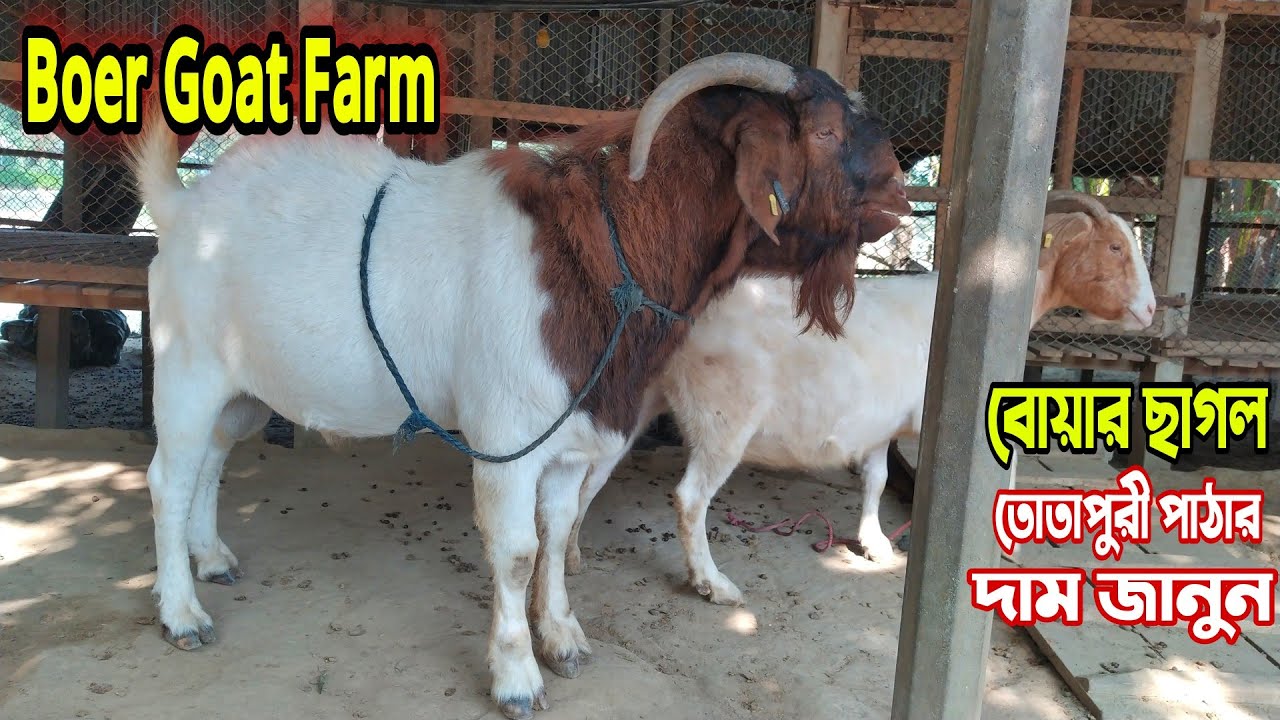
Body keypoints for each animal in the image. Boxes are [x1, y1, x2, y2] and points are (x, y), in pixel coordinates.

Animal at [125, 53, 912, 719]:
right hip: (188, 371)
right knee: (168, 477)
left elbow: (558, 534)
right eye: (824, 129)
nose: (902, 193)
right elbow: (516, 551)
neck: (597, 253)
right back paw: (182, 613)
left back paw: (211, 559)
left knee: (211, 463)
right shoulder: (507, 440)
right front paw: (515, 677)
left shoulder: (569, 445)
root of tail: (184, 209)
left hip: (244, 391)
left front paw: (562, 639)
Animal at [563, 190, 1157, 606]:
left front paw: (874, 543)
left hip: (641, 395)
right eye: (1114, 246)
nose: (1150, 310)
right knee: (689, 498)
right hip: (725, 416)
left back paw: (570, 556)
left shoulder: (878, 423)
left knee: (593, 474)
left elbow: (875, 478)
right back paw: (713, 585)